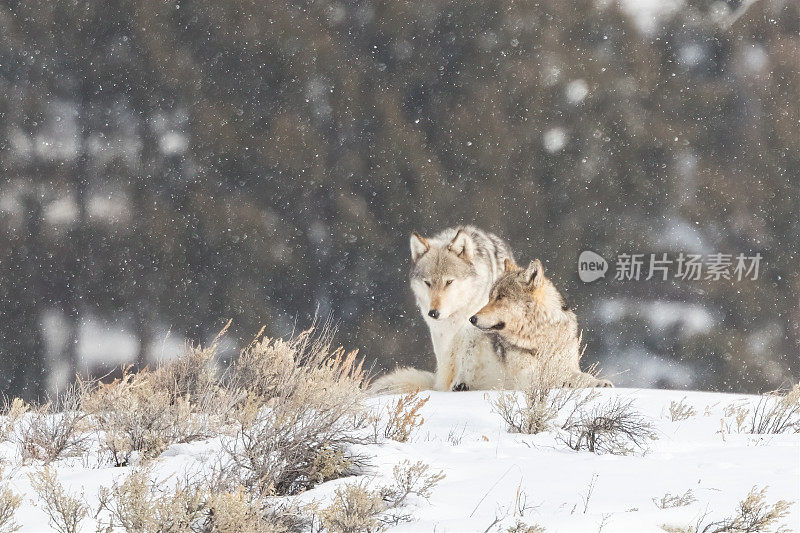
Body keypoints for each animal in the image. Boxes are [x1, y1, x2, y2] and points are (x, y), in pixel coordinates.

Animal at [368, 222, 512, 392]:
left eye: (449, 282)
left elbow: (468, 355)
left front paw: (460, 383)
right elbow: (445, 361)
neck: (454, 315)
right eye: (427, 283)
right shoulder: (439, 333)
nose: (434, 313)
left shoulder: (471, 329)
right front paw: (444, 388)